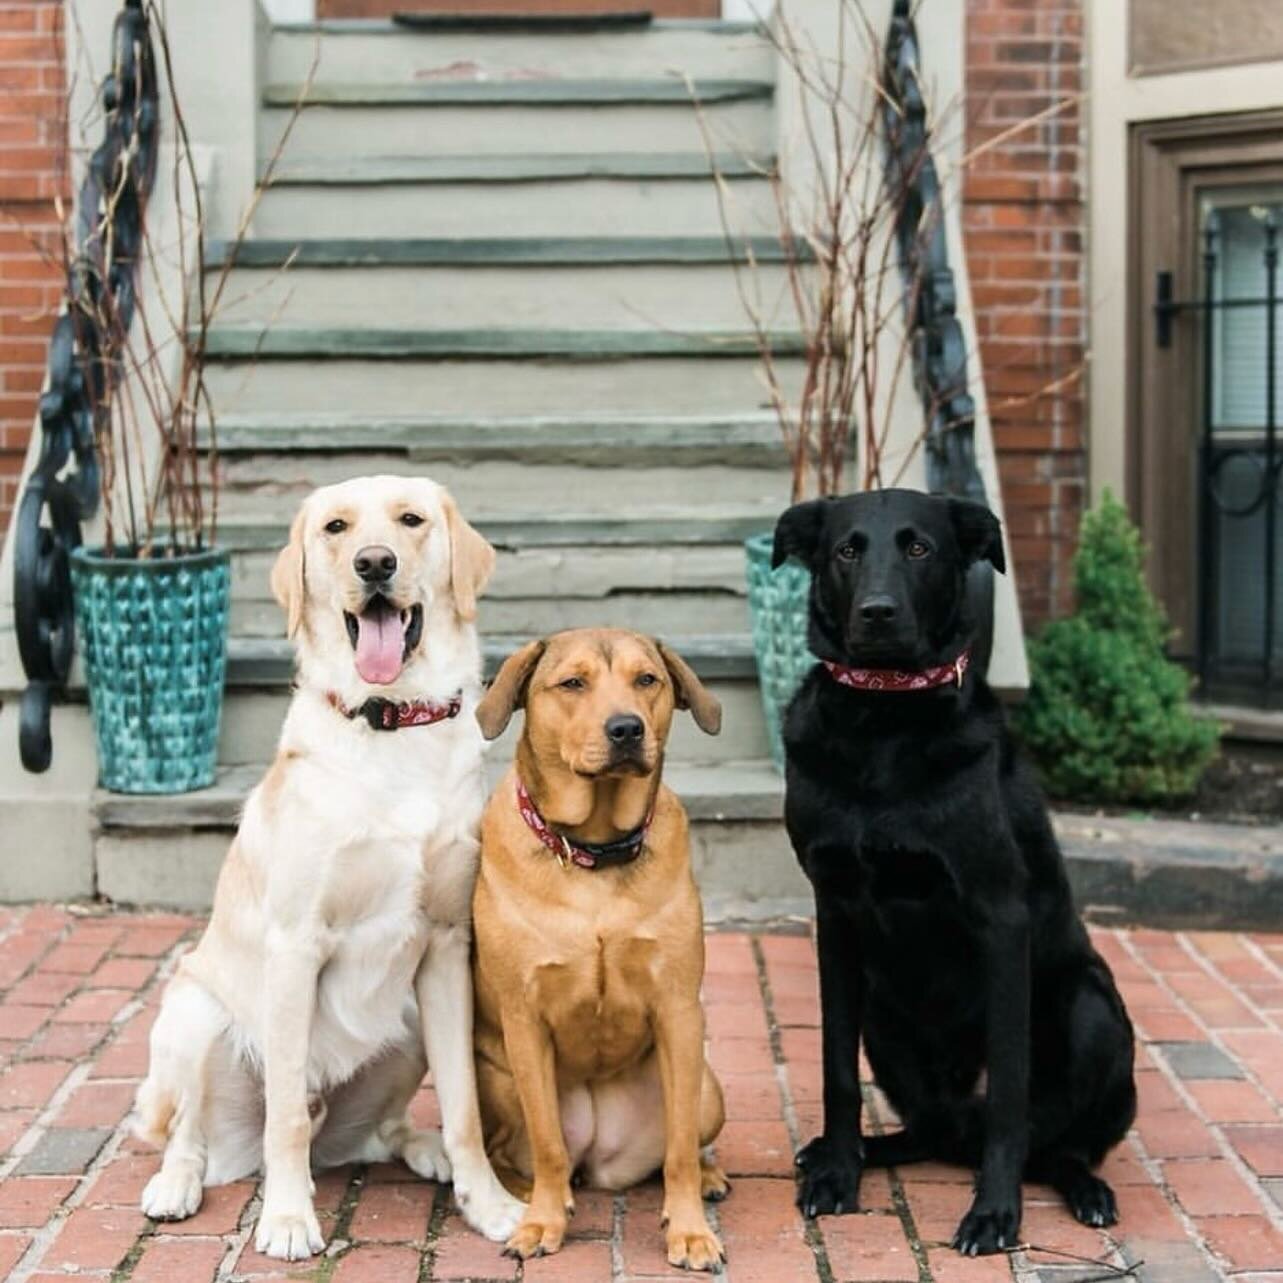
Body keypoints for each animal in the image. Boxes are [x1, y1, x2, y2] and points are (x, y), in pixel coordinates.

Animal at [134, 477, 520, 1257]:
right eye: (336, 528)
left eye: (411, 520)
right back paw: (176, 1184)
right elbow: (282, 1112)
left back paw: (421, 1149)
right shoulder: (294, 946)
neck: (392, 722)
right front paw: (286, 1218)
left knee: (377, 1133)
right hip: (192, 1011)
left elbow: (465, 1104)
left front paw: (488, 1203)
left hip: (407, 1021)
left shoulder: (446, 948)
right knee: (192, 1131)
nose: (374, 563)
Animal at [472, 626, 733, 1267]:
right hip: (494, 1078)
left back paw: (709, 1176)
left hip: (708, 1088)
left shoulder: (678, 1010)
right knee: (514, 1152)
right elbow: (547, 1144)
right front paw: (542, 1221)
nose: (626, 729)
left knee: (683, 1144)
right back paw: (532, 1194)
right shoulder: (524, 1019)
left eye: (648, 680)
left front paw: (690, 1229)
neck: (593, 850)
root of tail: (601, 1156)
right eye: (572, 683)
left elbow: (679, 1152)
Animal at [769, 487, 1134, 1252]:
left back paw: (1083, 1187)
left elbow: (1008, 1098)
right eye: (846, 550)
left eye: (918, 547)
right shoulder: (834, 915)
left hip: (1090, 1007)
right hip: (880, 1011)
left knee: (1051, 1143)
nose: (877, 612)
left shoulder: (1000, 915)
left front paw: (994, 1212)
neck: (882, 723)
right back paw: (853, 1150)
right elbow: (836, 1073)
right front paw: (838, 1170)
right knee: (931, 1129)